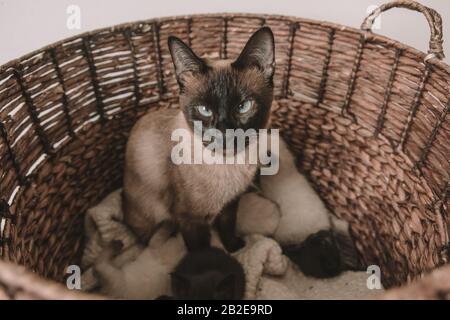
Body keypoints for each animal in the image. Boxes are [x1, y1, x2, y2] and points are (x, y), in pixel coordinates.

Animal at [122, 26, 274, 252]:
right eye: (204, 110)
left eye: (243, 106)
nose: (223, 133)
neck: (228, 165)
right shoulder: (190, 220)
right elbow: (202, 255)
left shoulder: (230, 204)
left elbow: (228, 227)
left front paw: (235, 249)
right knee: (145, 237)